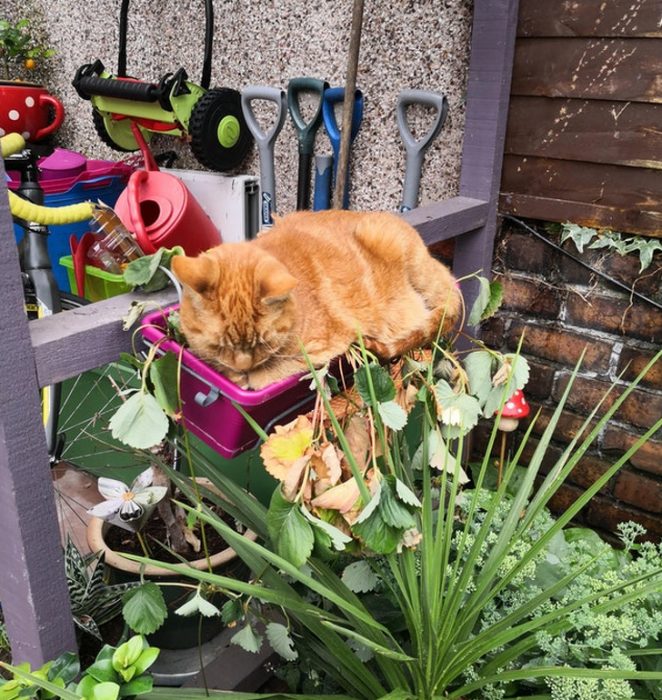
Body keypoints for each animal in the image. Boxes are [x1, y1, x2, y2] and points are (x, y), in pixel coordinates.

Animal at [171, 211, 462, 392]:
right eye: (218, 345)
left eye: (263, 343)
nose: (242, 366)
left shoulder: (320, 349)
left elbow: (269, 373)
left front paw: (245, 378)